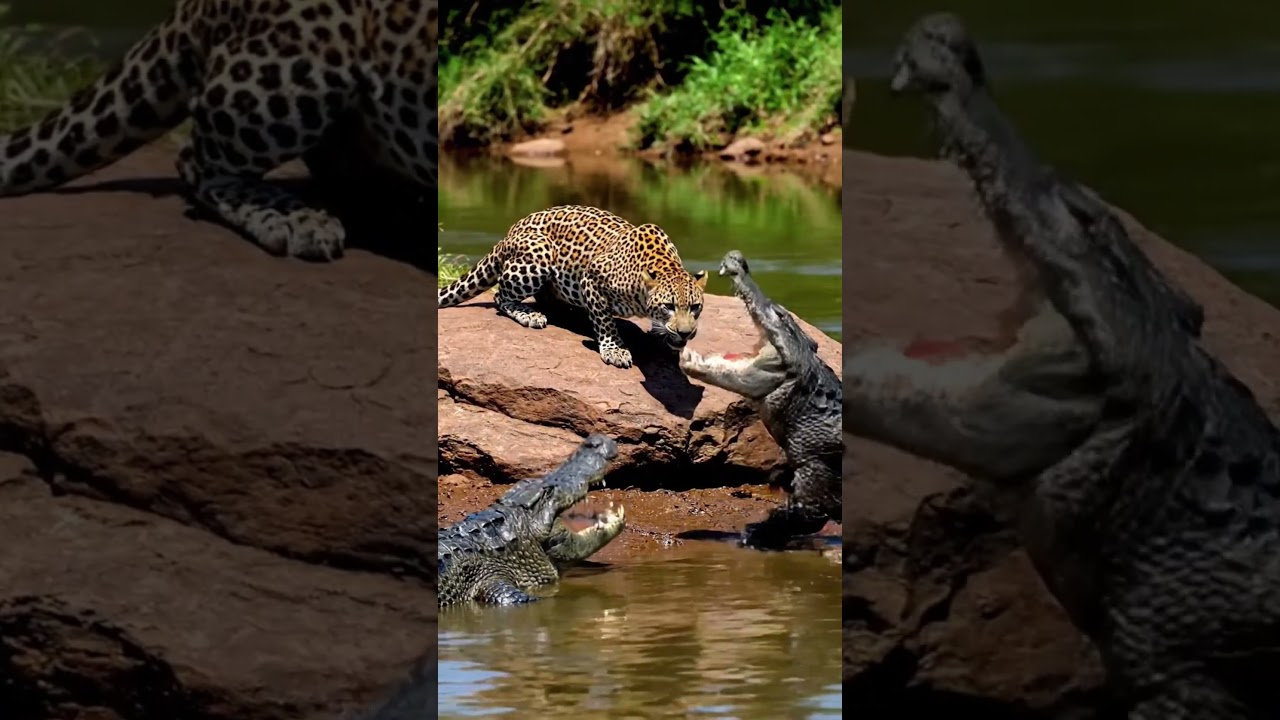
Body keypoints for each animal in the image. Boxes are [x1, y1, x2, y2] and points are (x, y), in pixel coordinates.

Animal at [438, 205, 709, 369]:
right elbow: (605, 322)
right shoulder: (591, 279)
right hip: (539, 254)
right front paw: (615, 350)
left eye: (695, 307)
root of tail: (510, 232)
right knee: (500, 297)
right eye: (668, 306)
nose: (686, 333)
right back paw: (530, 315)